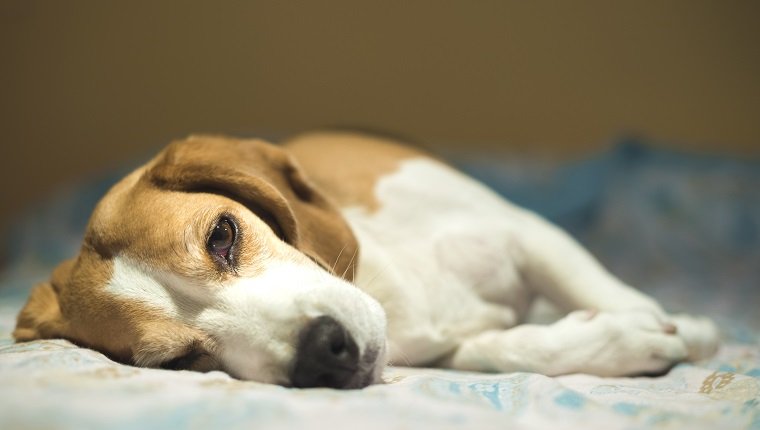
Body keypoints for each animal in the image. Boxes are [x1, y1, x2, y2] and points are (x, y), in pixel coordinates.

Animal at [16, 132, 720, 390]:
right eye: (181, 362)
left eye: (222, 236)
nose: (324, 355)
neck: (390, 279)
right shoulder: (445, 350)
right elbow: (511, 349)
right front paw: (626, 342)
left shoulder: (528, 232)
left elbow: (602, 288)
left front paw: (679, 327)